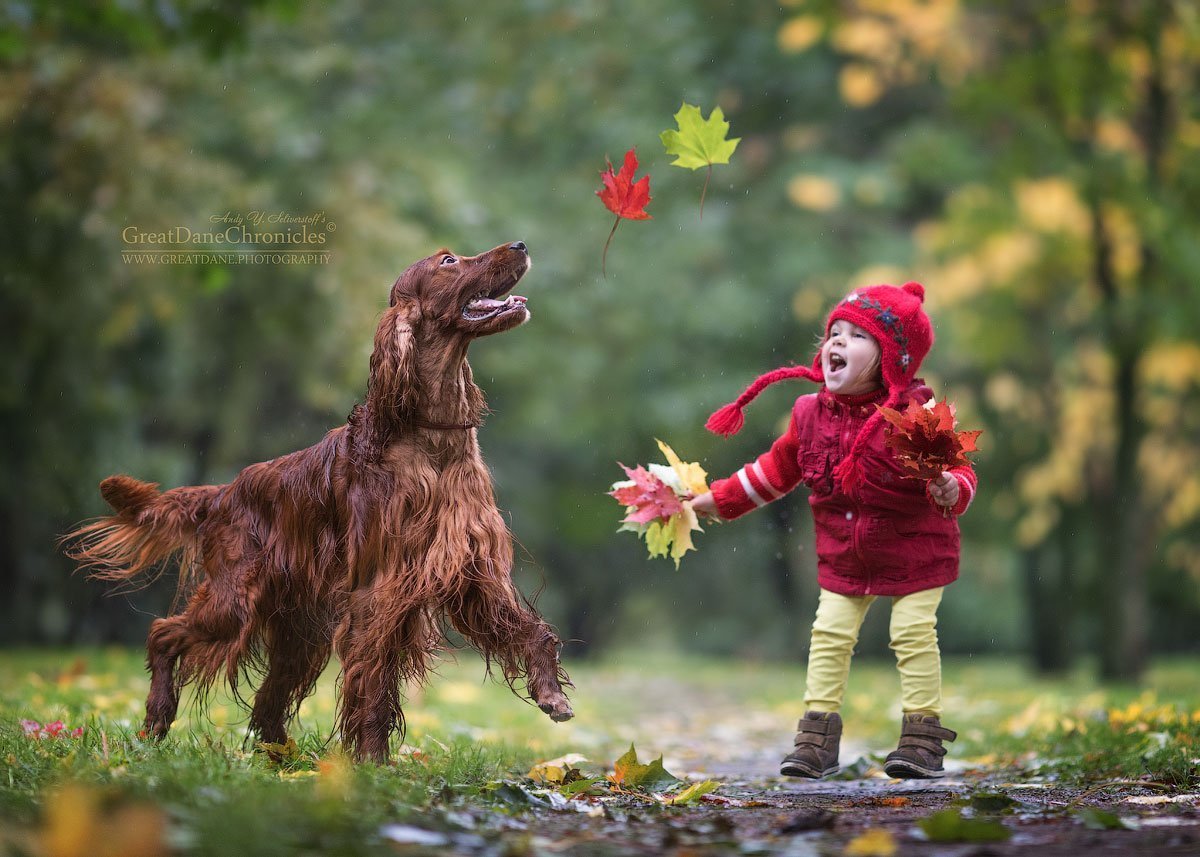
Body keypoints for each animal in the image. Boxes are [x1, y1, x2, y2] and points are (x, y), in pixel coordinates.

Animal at [64, 242, 571, 763]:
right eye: (448, 262)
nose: (520, 246)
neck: (430, 437)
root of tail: (224, 492)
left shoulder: (471, 572)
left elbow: (531, 630)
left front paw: (550, 693)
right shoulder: (379, 587)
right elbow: (372, 682)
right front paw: (372, 761)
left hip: (300, 628)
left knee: (268, 700)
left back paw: (284, 760)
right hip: (234, 602)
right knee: (164, 633)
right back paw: (156, 723)